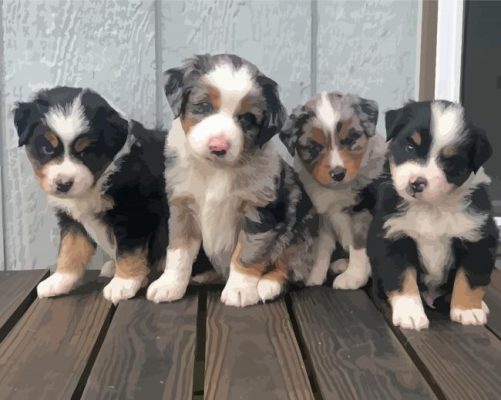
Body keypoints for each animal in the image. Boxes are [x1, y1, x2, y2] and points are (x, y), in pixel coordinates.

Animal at [13, 86, 169, 304]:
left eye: (86, 152)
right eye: (46, 148)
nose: (63, 184)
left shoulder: (135, 212)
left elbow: (129, 251)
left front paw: (123, 284)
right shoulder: (72, 220)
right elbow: (70, 249)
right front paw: (59, 281)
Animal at [146, 54, 316, 306]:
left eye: (246, 119)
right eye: (204, 106)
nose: (218, 147)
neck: (215, 170)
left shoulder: (259, 211)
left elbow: (247, 253)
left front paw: (240, 290)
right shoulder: (182, 207)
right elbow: (178, 251)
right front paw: (169, 285)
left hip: (299, 234)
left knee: (290, 266)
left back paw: (268, 285)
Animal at [280, 92, 384, 290]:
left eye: (350, 140)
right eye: (314, 147)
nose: (338, 174)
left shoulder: (363, 212)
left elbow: (358, 247)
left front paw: (353, 277)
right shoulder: (323, 218)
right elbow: (322, 250)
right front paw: (314, 277)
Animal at [366, 101, 498, 332]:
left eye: (450, 161)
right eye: (410, 147)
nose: (416, 183)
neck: (432, 208)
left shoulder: (478, 237)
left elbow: (470, 276)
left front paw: (468, 310)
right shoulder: (393, 237)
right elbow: (402, 278)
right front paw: (409, 313)